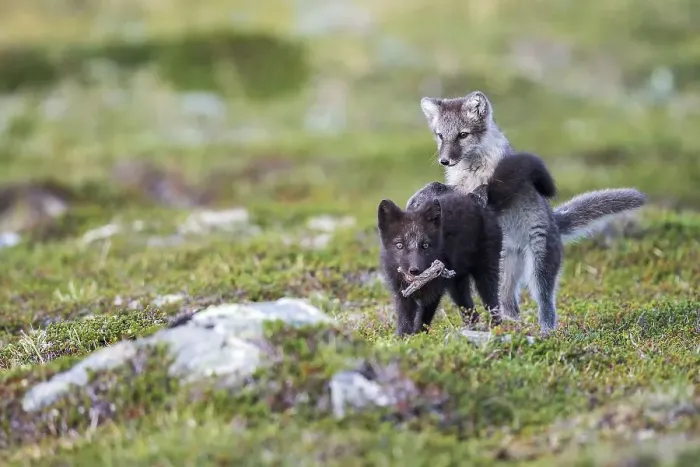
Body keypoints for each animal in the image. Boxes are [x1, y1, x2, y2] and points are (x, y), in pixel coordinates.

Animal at [379, 152, 557, 336]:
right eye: (399, 245)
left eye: (425, 245)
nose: (414, 271)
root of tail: (480, 202)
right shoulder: (401, 292)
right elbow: (405, 318)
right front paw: (403, 337)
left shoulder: (435, 292)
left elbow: (423, 319)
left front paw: (419, 337)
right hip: (457, 283)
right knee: (470, 310)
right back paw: (473, 329)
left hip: (485, 272)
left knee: (492, 304)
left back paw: (496, 329)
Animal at [415, 90, 647, 333]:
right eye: (441, 135)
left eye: (463, 135)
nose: (445, 160)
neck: (471, 170)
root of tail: (555, 224)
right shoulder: (460, 188)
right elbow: (438, 187)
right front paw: (421, 197)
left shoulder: (494, 191)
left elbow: (474, 192)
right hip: (503, 270)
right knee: (509, 304)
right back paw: (509, 325)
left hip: (539, 265)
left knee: (546, 303)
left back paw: (546, 331)